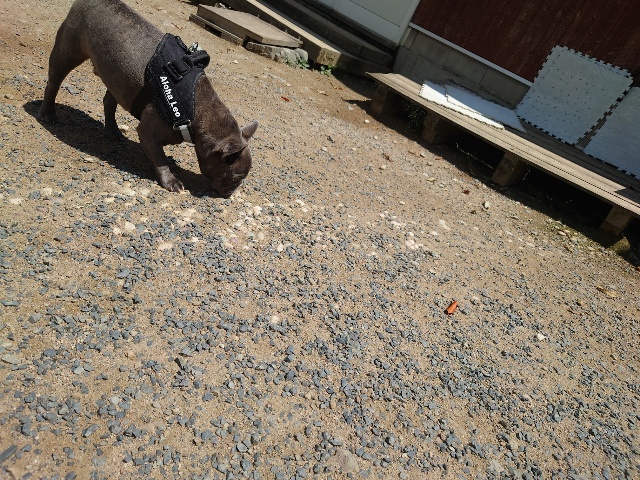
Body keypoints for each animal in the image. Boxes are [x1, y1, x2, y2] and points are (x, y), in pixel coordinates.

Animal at [39, 0, 258, 197]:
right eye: (236, 178)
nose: (231, 193)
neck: (200, 109)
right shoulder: (148, 132)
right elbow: (160, 159)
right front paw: (171, 181)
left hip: (118, 80)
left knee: (109, 102)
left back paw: (113, 131)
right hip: (68, 51)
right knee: (54, 82)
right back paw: (48, 114)